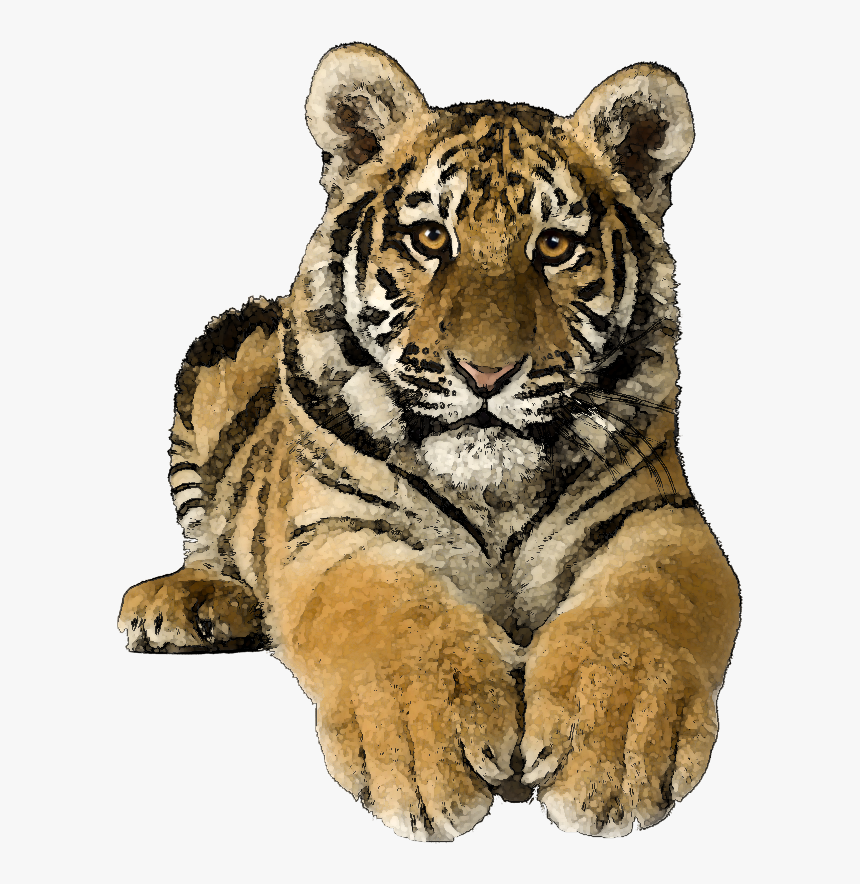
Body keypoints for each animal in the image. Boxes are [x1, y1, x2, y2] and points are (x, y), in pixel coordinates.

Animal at [118, 43, 740, 841]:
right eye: (431, 239)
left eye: (555, 246)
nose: (486, 372)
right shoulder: (337, 530)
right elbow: (393, 617)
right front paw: (422, 748)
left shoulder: (658, 518)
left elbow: (641, 613)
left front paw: (614, 748)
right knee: (206, 536)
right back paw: (187, 602)